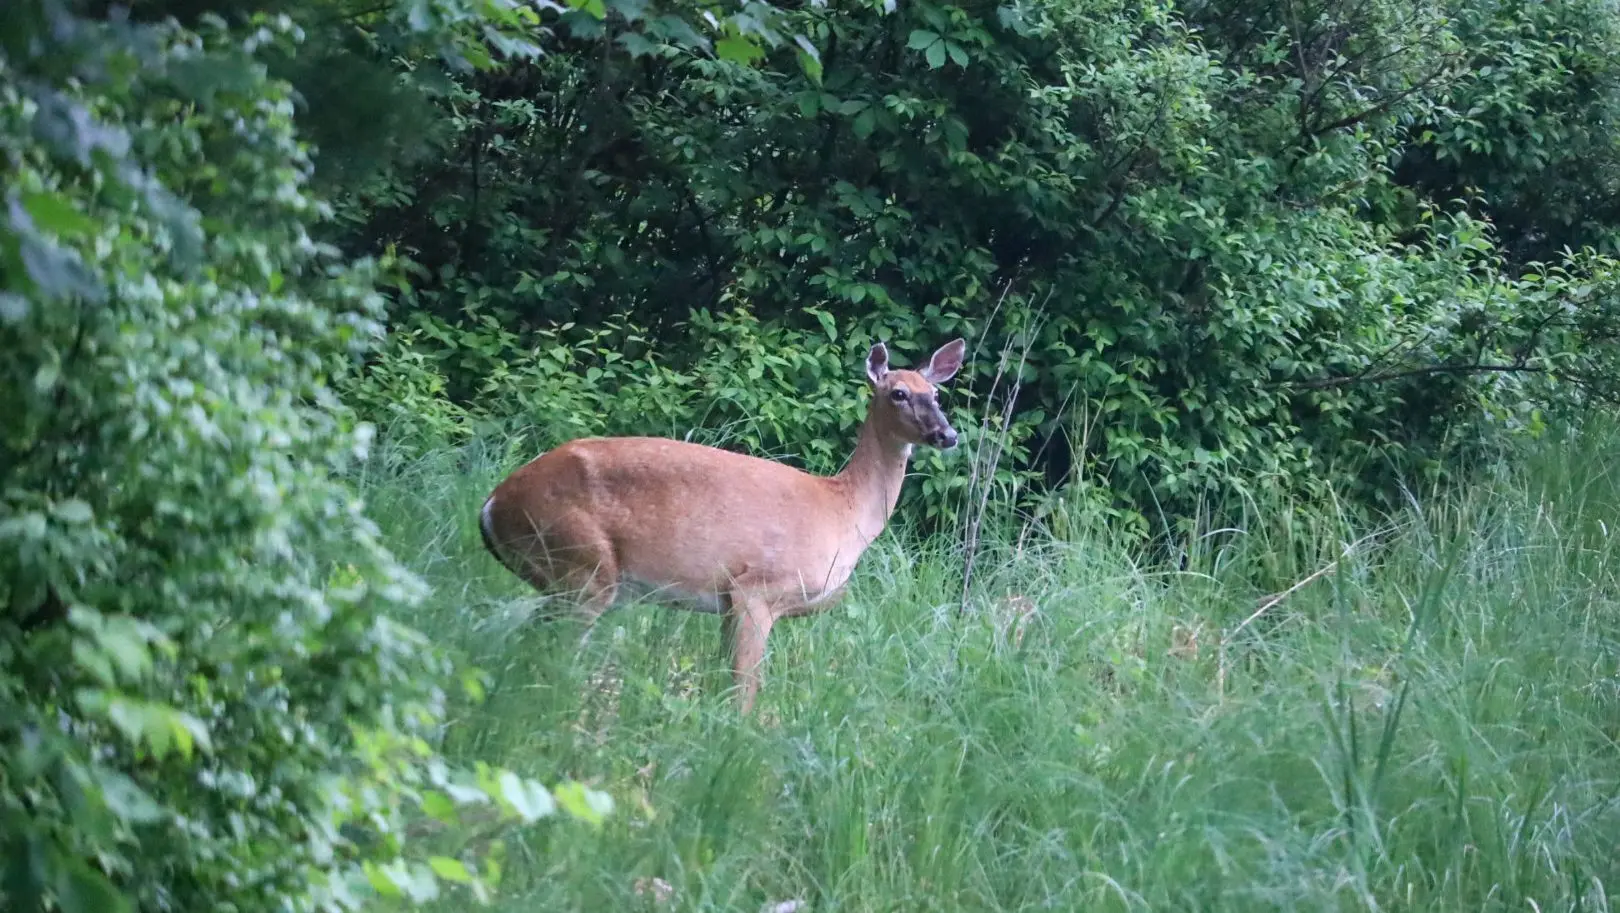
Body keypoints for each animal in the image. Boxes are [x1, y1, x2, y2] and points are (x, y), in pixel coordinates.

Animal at [477, 337, 967, 715]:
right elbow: (743, 692)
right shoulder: (757, 589)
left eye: (936, 394)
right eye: (898, 393)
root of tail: (491, 504)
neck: (843, 510)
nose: (948, 435)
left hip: (562, 577)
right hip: (581, 563)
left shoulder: (729, 603)